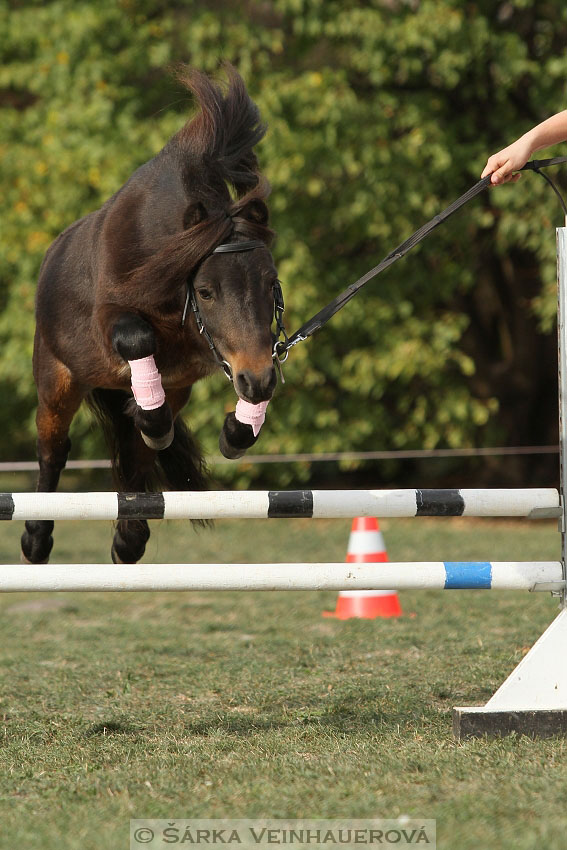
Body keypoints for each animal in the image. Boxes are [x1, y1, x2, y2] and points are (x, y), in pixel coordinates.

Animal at [21, 64, 280, 564]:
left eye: (270, 284)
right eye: (206, 291)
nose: (257, 381)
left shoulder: (208, 363)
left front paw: (237, 430)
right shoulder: (111, 321)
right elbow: (136, 338)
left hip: (169, 387)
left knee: (133, 451)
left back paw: (130, 535)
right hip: (58, 377)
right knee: (53, 452)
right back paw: (37, 539)